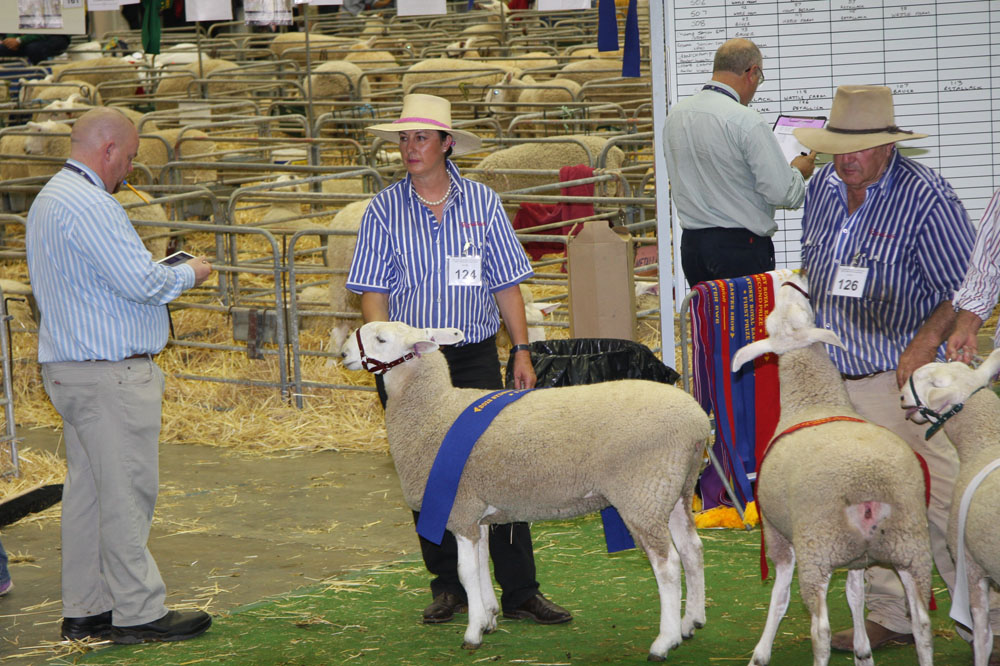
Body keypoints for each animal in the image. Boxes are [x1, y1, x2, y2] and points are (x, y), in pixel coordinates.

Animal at [344, 320, 712, 660]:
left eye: (381, 339)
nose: (345, 352)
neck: (435, 409)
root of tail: (696, 421)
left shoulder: (460, 508)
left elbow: (466, 571)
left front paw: (473, 632)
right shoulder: (477, 512)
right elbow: (482, 564)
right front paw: (488, 618)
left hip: (642, 492)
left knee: (668, 565)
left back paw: (664, 641)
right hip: (673, 489)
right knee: (692, 550)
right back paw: (691, 622)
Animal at [728, 270, 936, 664]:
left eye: (771, 320)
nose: (792, 279)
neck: (814, 400)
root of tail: (868, 488)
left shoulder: (778, 535)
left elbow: (779, 598)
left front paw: (760, 652)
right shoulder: (856, 558)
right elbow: (855, 597)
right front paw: (862, 651)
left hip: (818, 547)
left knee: (819, 630)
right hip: (908, 546)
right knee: (921, 623)